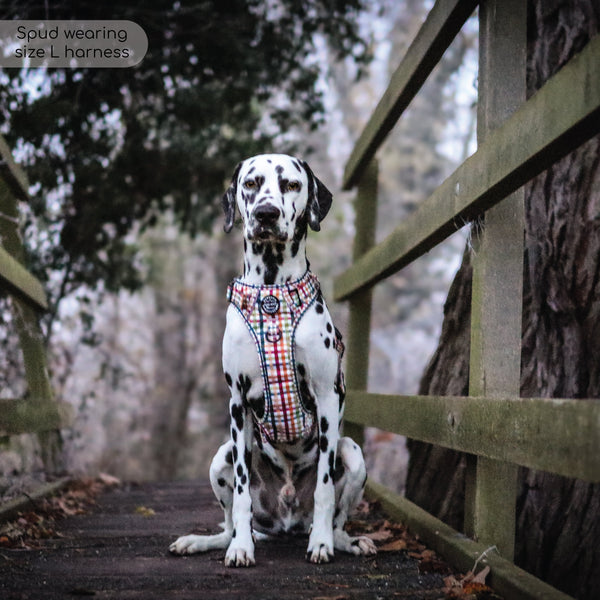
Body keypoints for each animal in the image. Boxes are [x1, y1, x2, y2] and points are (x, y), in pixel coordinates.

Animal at [170, 155, 376, 568]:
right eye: (251, 183)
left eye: (292, 185)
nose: (266, 213)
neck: (272, 293)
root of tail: (287, 517)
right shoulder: (237, 403)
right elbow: (242, 497)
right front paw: (240, 550)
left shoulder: (327, 397)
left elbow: (325, 489)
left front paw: (321, 544)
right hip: (221, 457)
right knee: (230, 523)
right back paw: (206, 541)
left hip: (353, 454)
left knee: (337, 516)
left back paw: (342, 540)